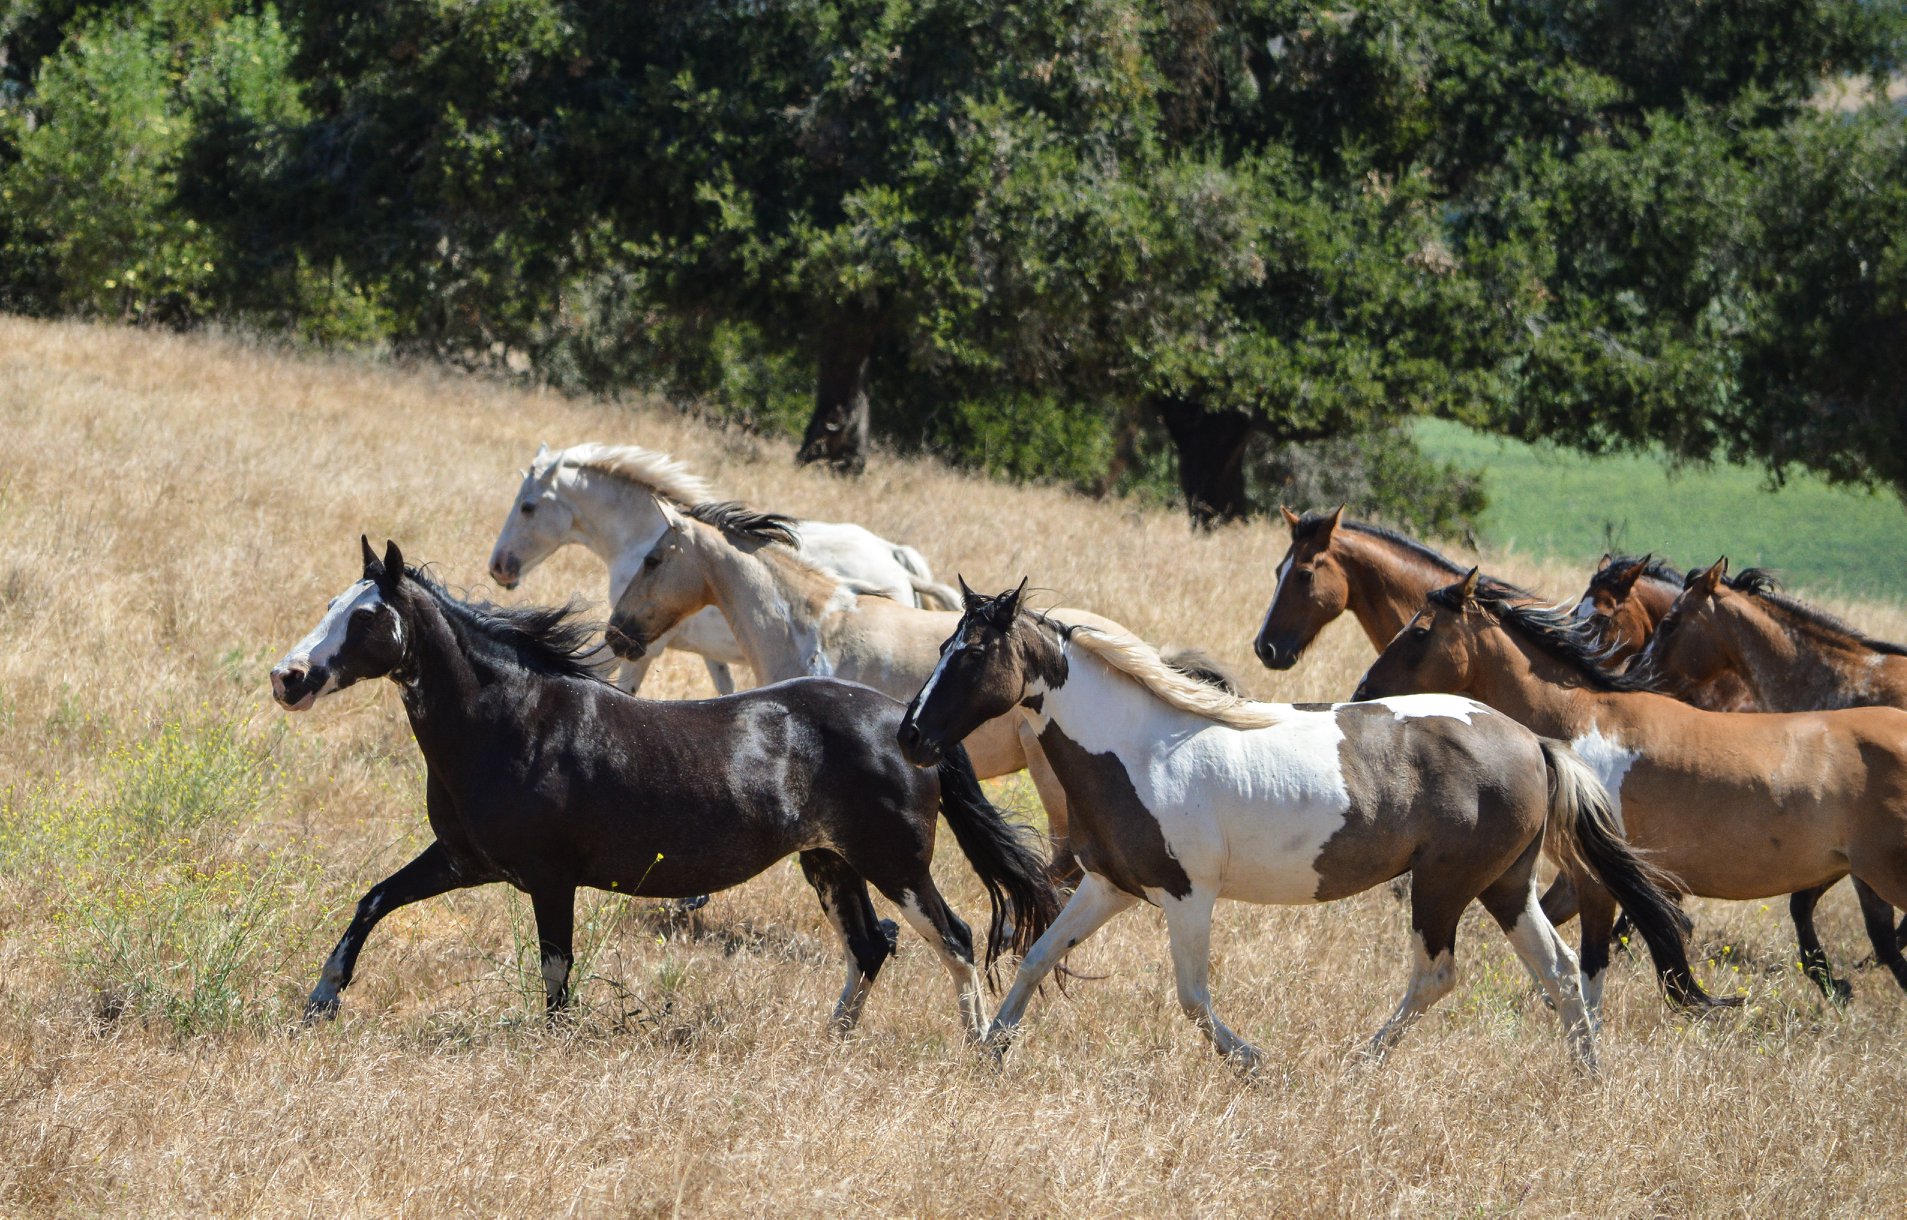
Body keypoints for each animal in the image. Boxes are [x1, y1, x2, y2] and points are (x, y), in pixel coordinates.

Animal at [268, 537, 1060, 1037]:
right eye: (334, 603)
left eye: (365, 616)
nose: (288, 677)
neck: (513, 722)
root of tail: (907, 725)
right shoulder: (465, 861)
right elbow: (373, 900)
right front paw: (320, 1003)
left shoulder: (550, 877)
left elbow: (556, 972)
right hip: (830, 863)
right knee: (870, 947)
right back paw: (831, 1041)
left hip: (894, 864)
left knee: (954, 939)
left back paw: (979, 1048)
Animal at [476, 440, 953, 693]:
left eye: (528, 506)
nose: (499, 567)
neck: (641, 535)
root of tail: (895, 556)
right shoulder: (709, 654)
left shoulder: (645, 645)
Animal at [1350, 571, 1907, 1006]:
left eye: (1420, 632)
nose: (1363, 693)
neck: (1579, 725)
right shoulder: (1575, 876)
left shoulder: (1598, 877)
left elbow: (1592, 962)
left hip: (1882, 875)